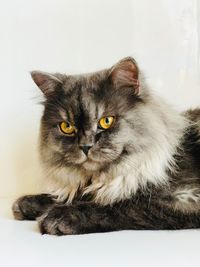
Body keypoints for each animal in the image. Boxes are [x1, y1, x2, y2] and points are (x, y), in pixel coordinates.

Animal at [12, 57, 200, 236]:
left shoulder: (186, 197)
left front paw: (58, 215)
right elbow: (74, 194)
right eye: (66, 127)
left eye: (106, 121)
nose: (85, 146)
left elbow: (118, 204)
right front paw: (29, 203)